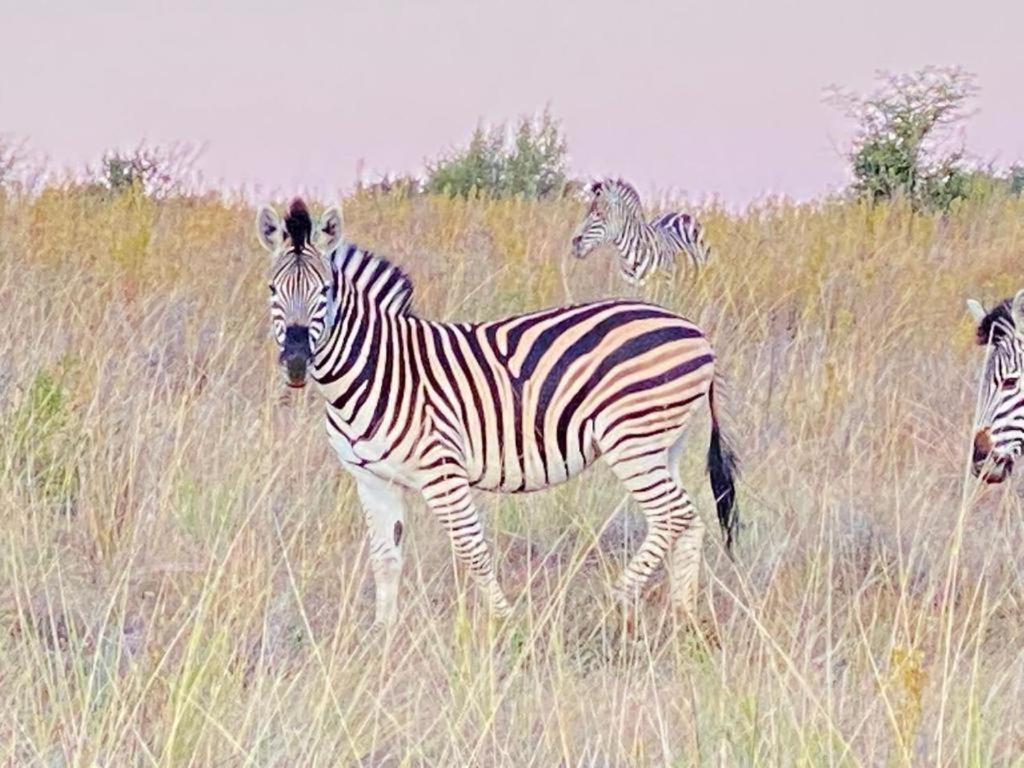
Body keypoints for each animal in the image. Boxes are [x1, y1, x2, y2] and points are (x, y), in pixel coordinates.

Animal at [254, 198, 737, 630]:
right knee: (689, 521)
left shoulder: (441, 470)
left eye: (325, 291)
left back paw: (614, 603)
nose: (295, 363)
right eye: (273, 290)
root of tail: (696, 332)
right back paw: (683, 617)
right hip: (664, 444)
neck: (377, 367)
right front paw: (382, 635)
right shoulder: (371, 478)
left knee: (673, 516)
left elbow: (471, 549)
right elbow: (385, 557)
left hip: (632, 440)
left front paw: (505, 622)